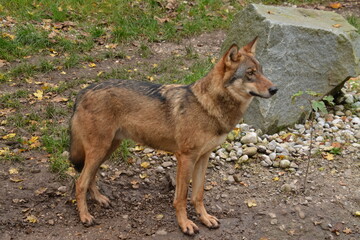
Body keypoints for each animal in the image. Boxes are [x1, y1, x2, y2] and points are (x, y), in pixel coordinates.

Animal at [70, 37, 278, 234]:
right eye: (250, 73)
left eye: (261, 71)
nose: (275, 89)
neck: (208, 106)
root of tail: (83, 92)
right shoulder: (186, 158)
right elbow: (182, 197)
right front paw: (185, 224)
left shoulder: (203, 157)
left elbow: (198, 194)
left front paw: (205, 218)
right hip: (100, 149)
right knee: (80, 182)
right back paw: (85, 217)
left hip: (107, 149)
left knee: (90, 177)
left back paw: (99, 199)